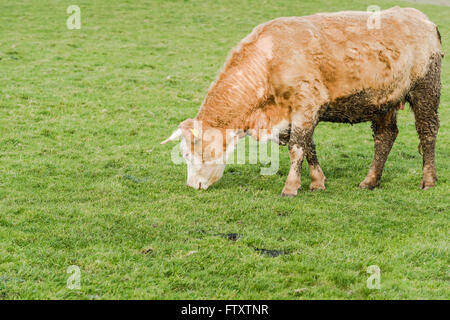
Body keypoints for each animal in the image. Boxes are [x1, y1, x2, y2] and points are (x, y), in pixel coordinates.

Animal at [162, 7, 442, 196]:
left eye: (186, 153)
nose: (192, 185)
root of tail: (419, 16)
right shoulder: (293, 114)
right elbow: (307, 145)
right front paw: (317, 182)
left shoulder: (306, 104)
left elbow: (297, 147)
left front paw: (291, 187)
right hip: (384, 99)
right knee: (385, 137)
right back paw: (370, 181)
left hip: (426, 89)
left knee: (427, 132)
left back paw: (428, 180)